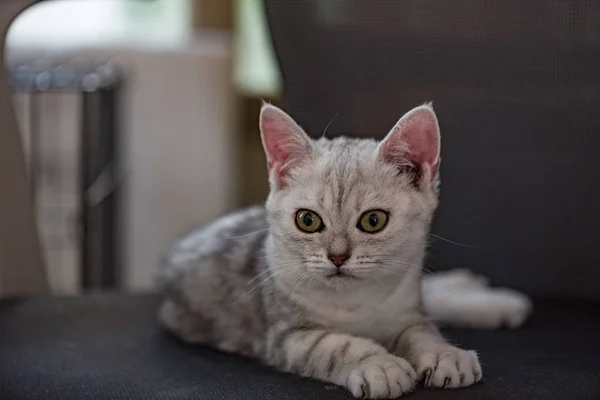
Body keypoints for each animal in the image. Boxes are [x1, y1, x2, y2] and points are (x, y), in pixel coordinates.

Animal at [157, 104, 532, 398]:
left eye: (373, 221)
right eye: (307, 220)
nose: (337, 256)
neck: (358, 303)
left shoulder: (408, 310)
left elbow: (422, 331)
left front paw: (442, 353)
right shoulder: (286, 337)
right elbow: (337, 345)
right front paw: (380, 365)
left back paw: (487, 296)